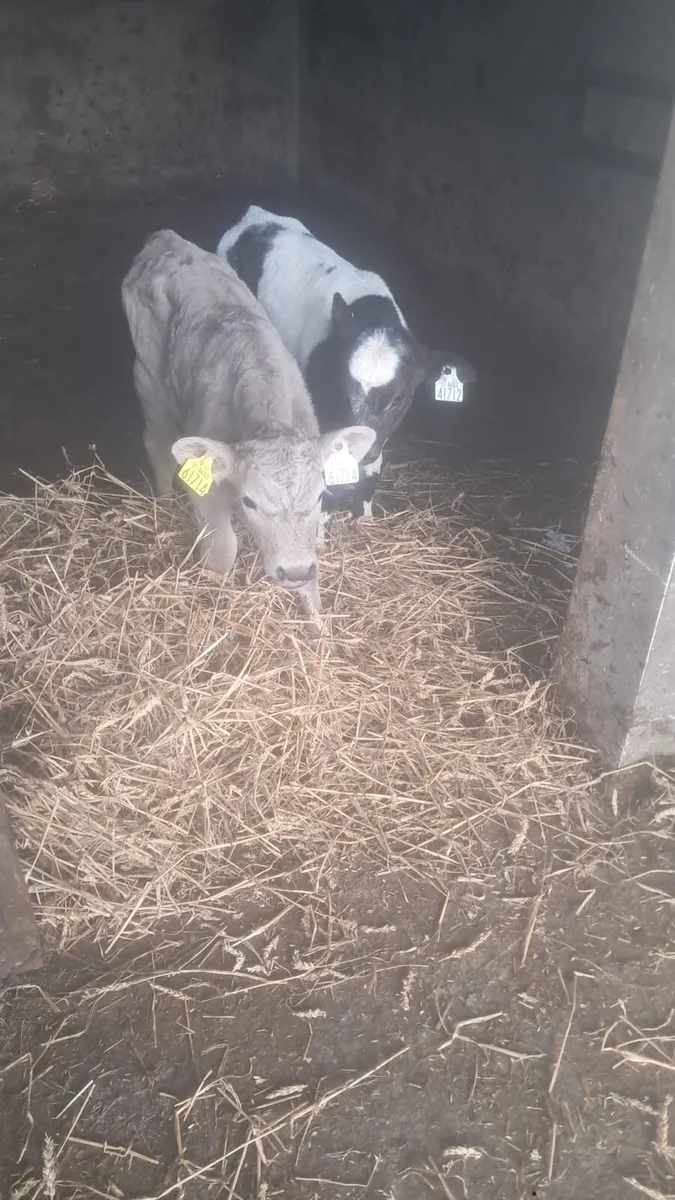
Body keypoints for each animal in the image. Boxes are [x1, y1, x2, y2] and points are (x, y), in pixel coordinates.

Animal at [121, 230, 376, 617]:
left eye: (319, 495)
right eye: (251, 502)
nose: (293, 570)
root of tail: (164, 240)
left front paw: (318, 622)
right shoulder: (208, 490)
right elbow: (224, 550)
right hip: (148, 377)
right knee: (158, 445)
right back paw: (162, 502)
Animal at [216, 205, 476, 531]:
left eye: (399, 399)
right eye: (338, 390)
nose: (359, 452)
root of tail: (255, 213)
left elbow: (370, 476)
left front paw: (364, 516)